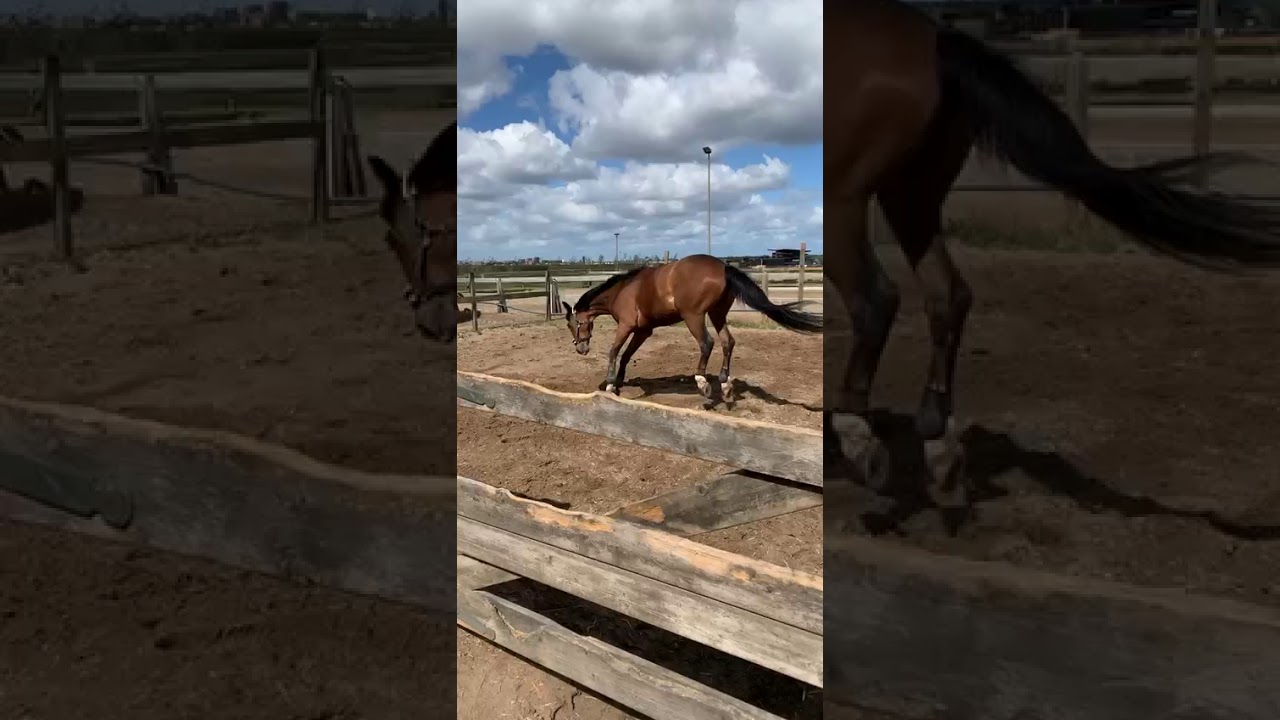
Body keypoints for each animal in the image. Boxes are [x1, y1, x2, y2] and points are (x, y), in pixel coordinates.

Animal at [563, 254, 821, 408]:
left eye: (572, 324)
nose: (581, 348)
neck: (622, 291)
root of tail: (723, 266)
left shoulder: (626, 326)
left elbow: (614, 351)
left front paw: (609, 384)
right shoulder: (643, 331)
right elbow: (626, 355)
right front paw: (617, 382)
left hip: (694, 316)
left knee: (707, 343)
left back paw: (703, 384)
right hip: (717, 314)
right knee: (728, 342)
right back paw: (725, 387)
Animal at [827, 0, 1280, 494]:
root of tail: (936, 39)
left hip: (849, 202)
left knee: (877, 300)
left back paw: (856, 433)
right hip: (911, 197)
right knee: (946, 296)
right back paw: (937, 441)